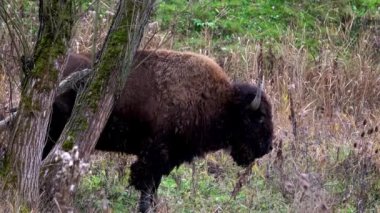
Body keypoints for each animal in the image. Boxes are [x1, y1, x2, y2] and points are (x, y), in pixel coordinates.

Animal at [46, 49, 274, 211]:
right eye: (260, 117)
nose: (268, 147)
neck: (222, 103)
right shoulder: (154, 156)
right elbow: (147, 188)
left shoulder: (166, 160)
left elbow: (153, 188)